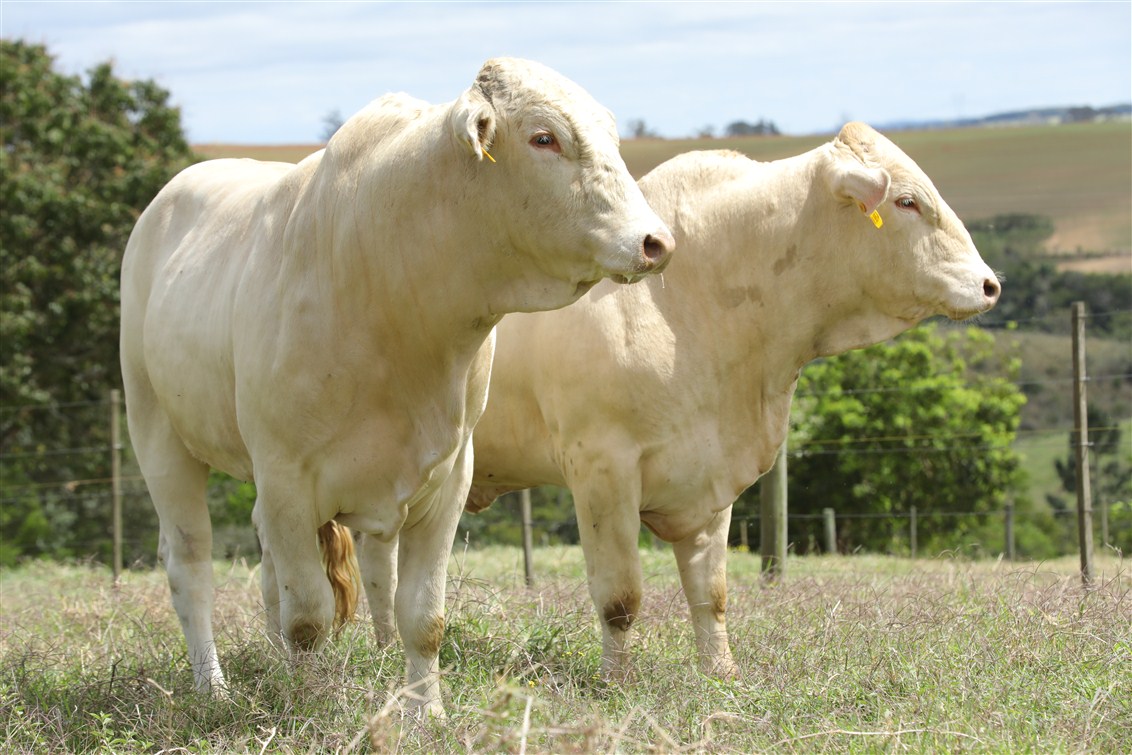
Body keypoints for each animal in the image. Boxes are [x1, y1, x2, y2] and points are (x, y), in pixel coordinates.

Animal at [119, 57, 670, 715]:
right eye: (544, 137)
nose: (655, 241)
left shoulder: (448, 476)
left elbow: (421, 615)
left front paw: (425, 709)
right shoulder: (284, 476)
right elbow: (308, 617)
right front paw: (308, 701)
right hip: (158, 436)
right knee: (191, 565)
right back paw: (213, 683)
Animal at [459, 123, 1000, 679]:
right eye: (908, 201)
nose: (989, 285)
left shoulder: (712, 479)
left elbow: (710, 594)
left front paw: (722, 674)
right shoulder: (601, 469)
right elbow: (620, 598)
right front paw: (615, 681)